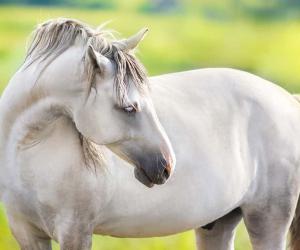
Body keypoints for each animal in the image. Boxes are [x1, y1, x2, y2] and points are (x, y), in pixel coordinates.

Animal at [1, 18, 300, 250]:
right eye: (129, 107)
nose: (167, 165)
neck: (28, 153)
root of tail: (288, 98)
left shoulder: (75, 230)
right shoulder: (26, 232)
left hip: (267, 219)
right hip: (219, 224)